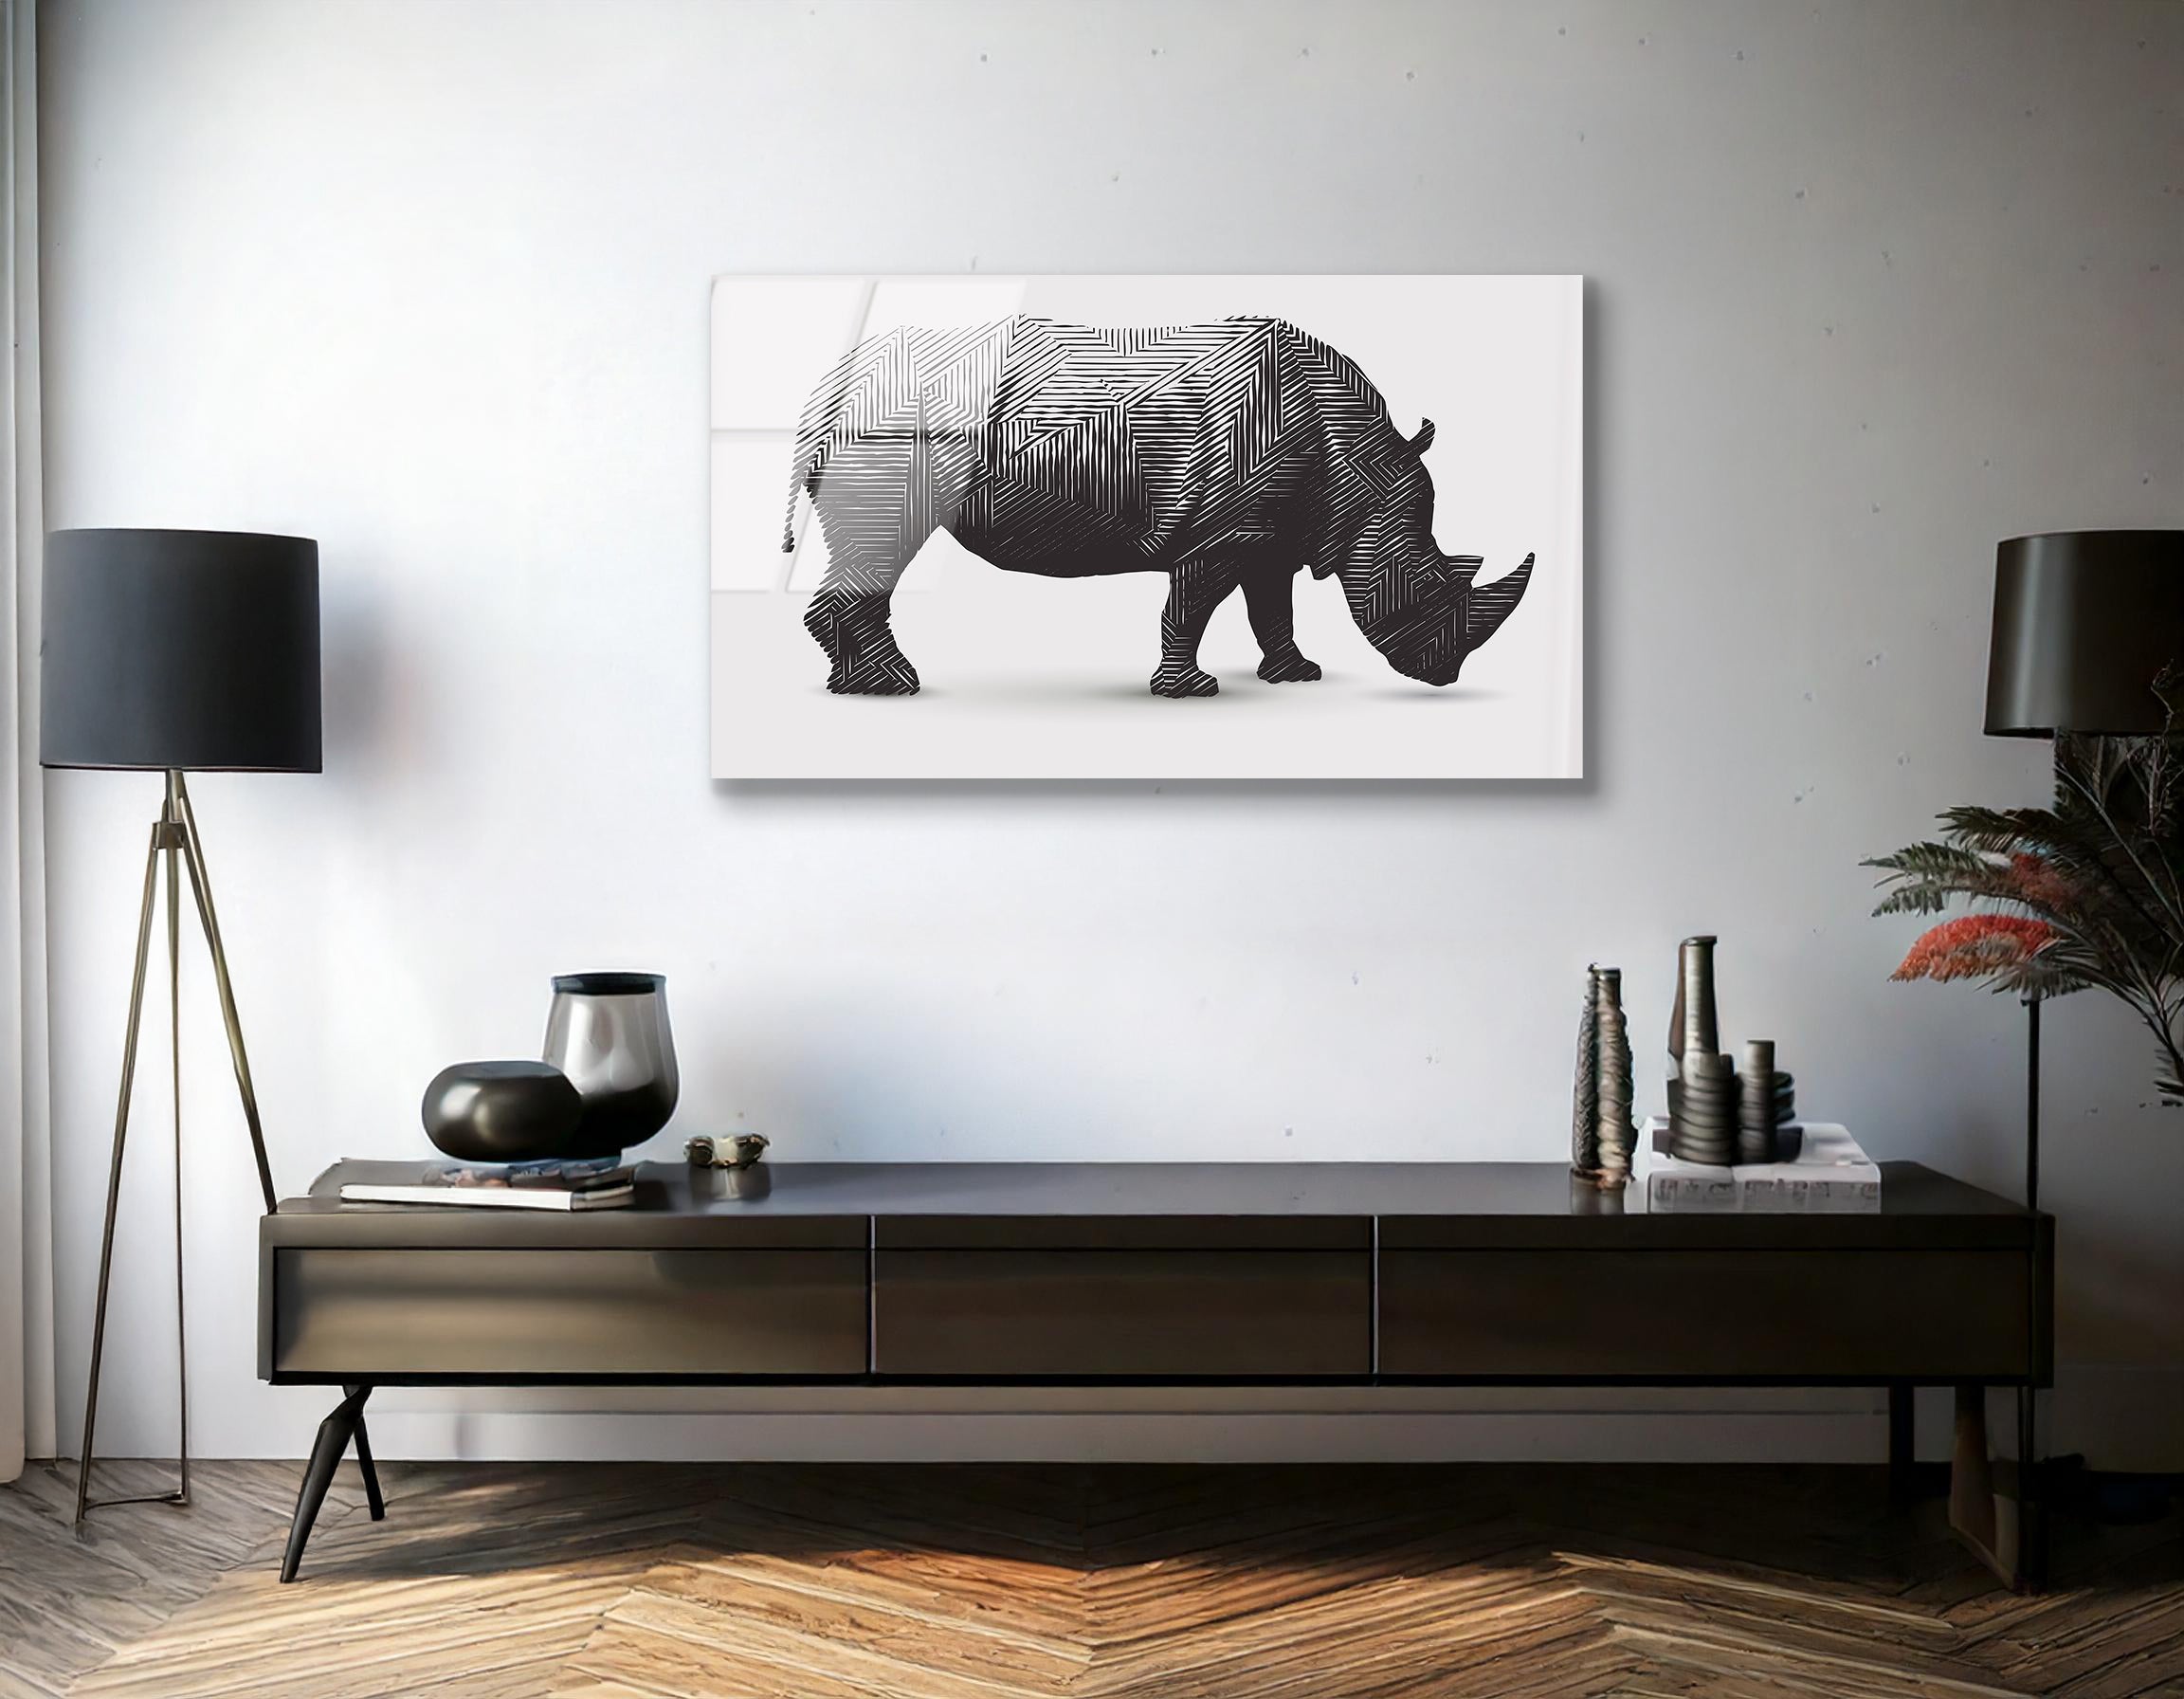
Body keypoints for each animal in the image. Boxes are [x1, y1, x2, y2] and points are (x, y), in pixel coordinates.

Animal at [782, 314, 1533, 697]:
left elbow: (1272, 606)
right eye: (1425, 589)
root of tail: (833, 382)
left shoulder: (1273, 533)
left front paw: (1296, 676)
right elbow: (1191, 606)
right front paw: (1191, 689)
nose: (1444, 675)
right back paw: (894, 686)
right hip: (894, 431)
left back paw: (849, 686)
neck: (1360, 470)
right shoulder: (1223, 532)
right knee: (885, 545)